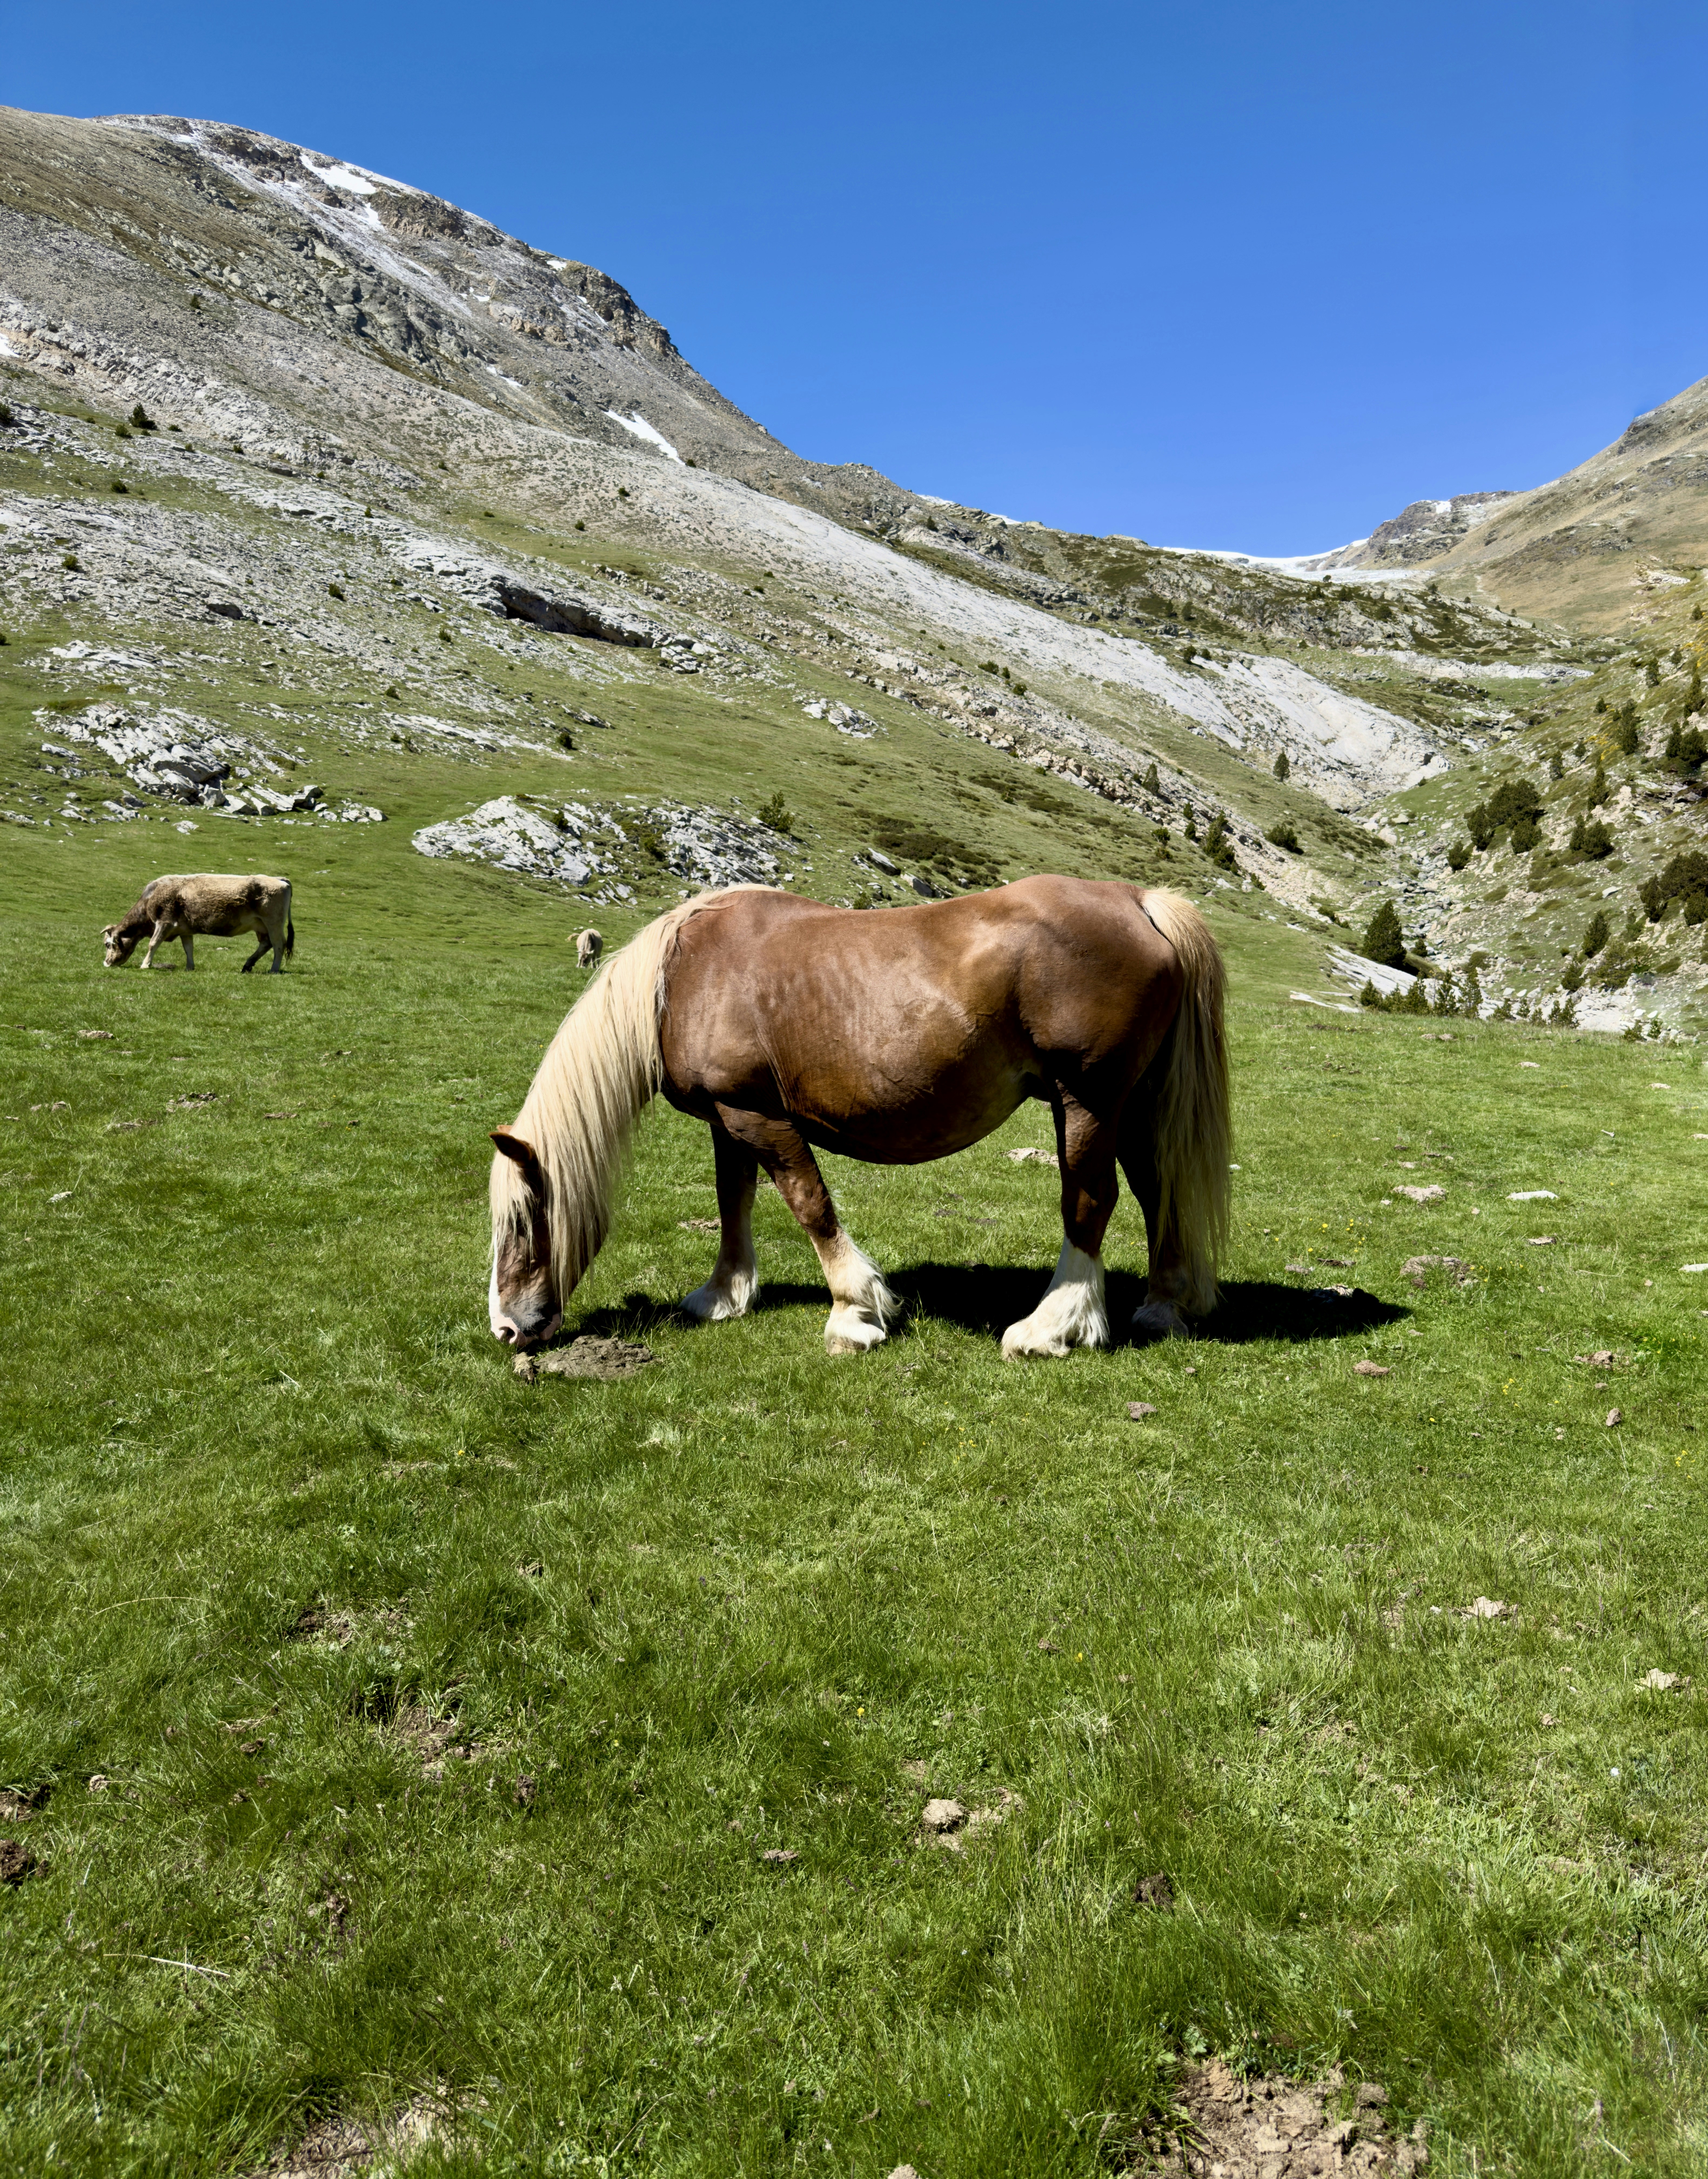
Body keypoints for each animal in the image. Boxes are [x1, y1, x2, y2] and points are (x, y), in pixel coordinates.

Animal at [103, 873, 294, 973]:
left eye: (108, 944)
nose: (106, 963)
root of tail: (279, 879)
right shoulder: (185, 929)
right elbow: (189, 948)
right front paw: (190, 967)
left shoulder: (165, 922)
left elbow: (153, 944)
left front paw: (145, 965)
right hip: (260, 926)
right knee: (266, 944)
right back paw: (248, 966)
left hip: (274, 923)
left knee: (279, 945)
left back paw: (274, 969)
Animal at [488, 877, 1229, 1359]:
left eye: (521, 1223)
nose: (506, 1329)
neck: (687, 976)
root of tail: (1138, 903)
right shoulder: (726, 1120)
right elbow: (734, 1203)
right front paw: (723, 1295)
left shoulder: (758, 1116)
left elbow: (810, 1205)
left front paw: (854, 1312)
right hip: (1132, 1104)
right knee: (1157, 1192)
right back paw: (1161, 1307)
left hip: (1088, 1101)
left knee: (1091, 1201)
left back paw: (1050, 1328)